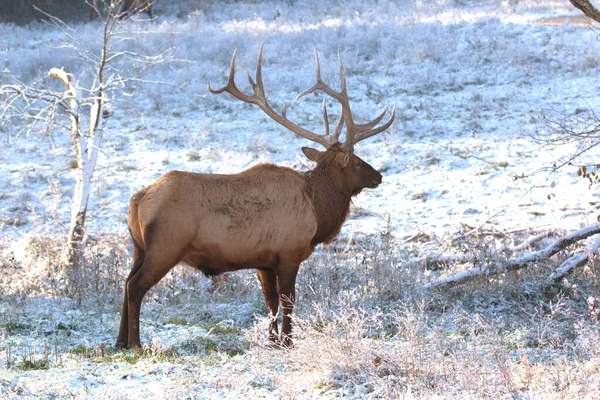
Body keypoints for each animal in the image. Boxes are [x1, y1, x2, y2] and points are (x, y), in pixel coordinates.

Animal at [116, 43, 396, 348]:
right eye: (357, 162)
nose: (378, 176)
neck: (317, 210)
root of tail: (137, 200)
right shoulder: (289, 251)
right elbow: (288, 301)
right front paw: (288, 342)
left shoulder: (264, 260)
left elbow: (269, 302)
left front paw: (272, 341)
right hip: (166, 245)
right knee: (136, 286)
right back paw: (135, 343)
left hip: (139, 247)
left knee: (125, 283)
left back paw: (119, 342)